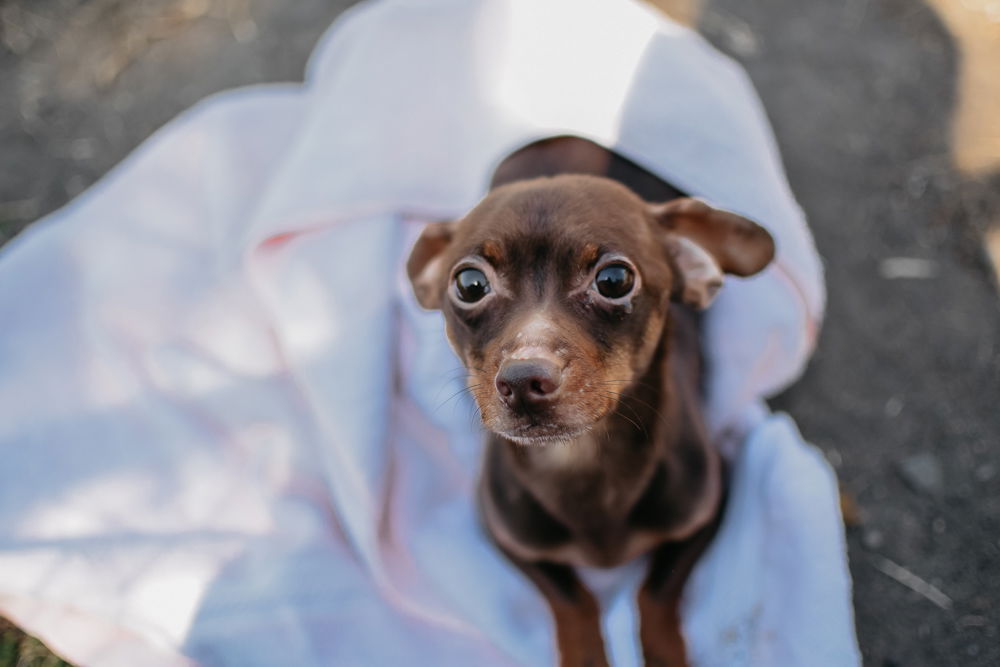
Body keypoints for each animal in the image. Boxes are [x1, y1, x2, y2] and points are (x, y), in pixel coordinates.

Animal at [404, 137, 772, 667]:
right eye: (469, 285)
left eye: (614, 279)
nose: (523, 379)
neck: (581, 461)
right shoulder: (506, 535)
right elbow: (571, 598)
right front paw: (585, 655)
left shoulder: (709, 505)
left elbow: (657, 590)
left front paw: (663, 654)